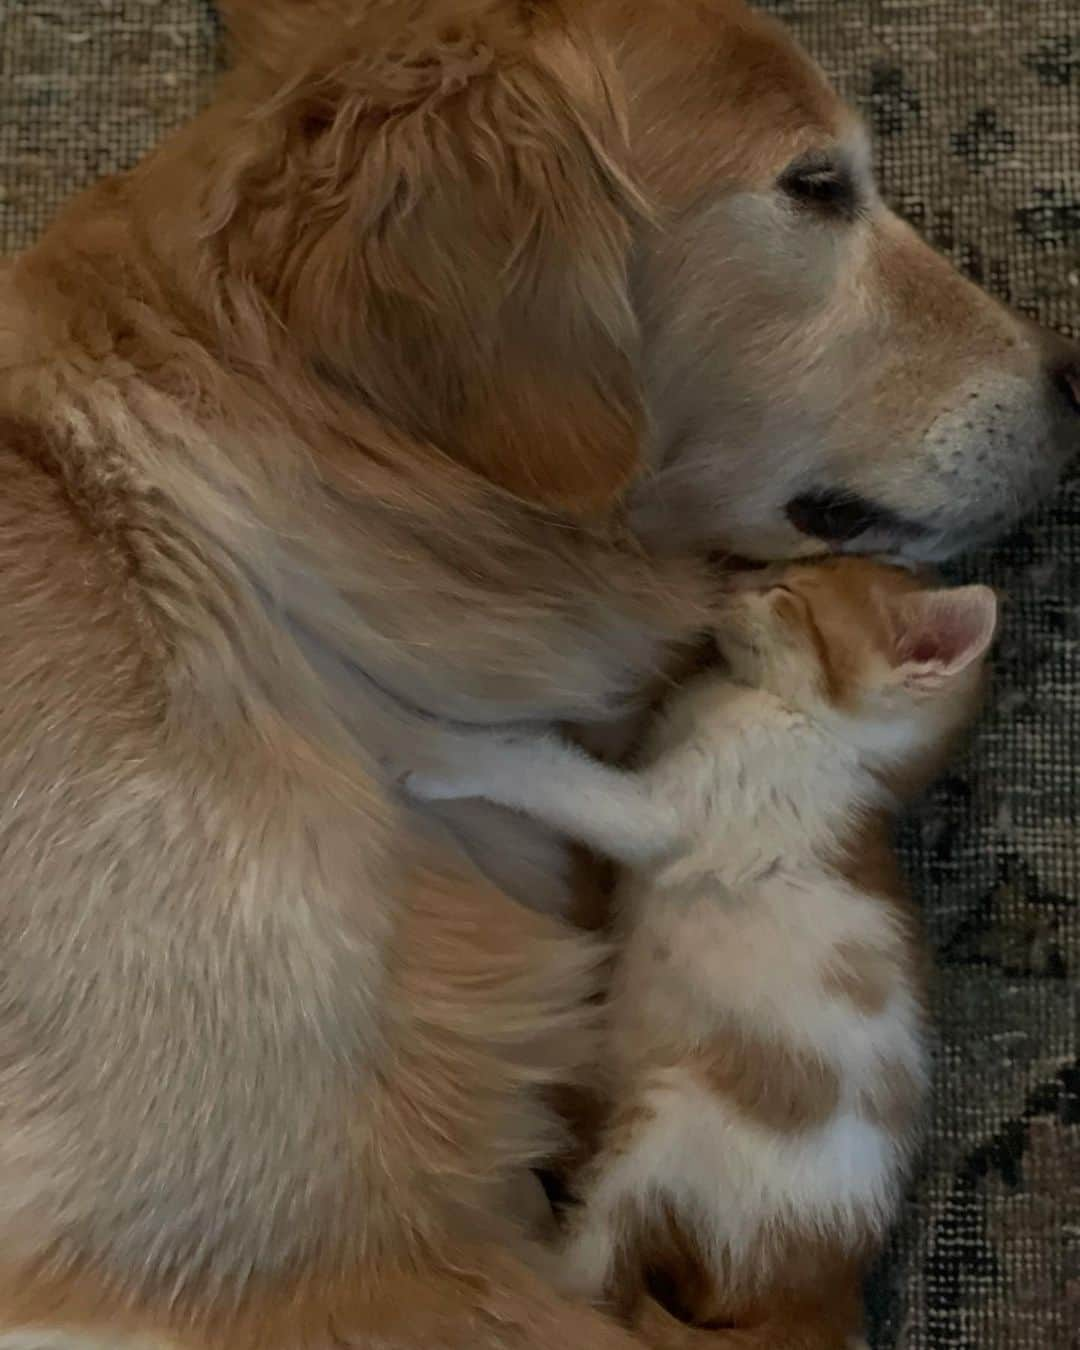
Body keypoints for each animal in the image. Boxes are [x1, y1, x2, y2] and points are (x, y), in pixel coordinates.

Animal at [405, 556, 993, 1339]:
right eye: (788, 564)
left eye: (788, 594)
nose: (737, 575)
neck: (821, 738)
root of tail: (822, 1295)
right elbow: (590, 758)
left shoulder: (665, 810)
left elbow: (554, 774)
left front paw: (451, 748)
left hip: (674, 1120)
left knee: (594, 1283)